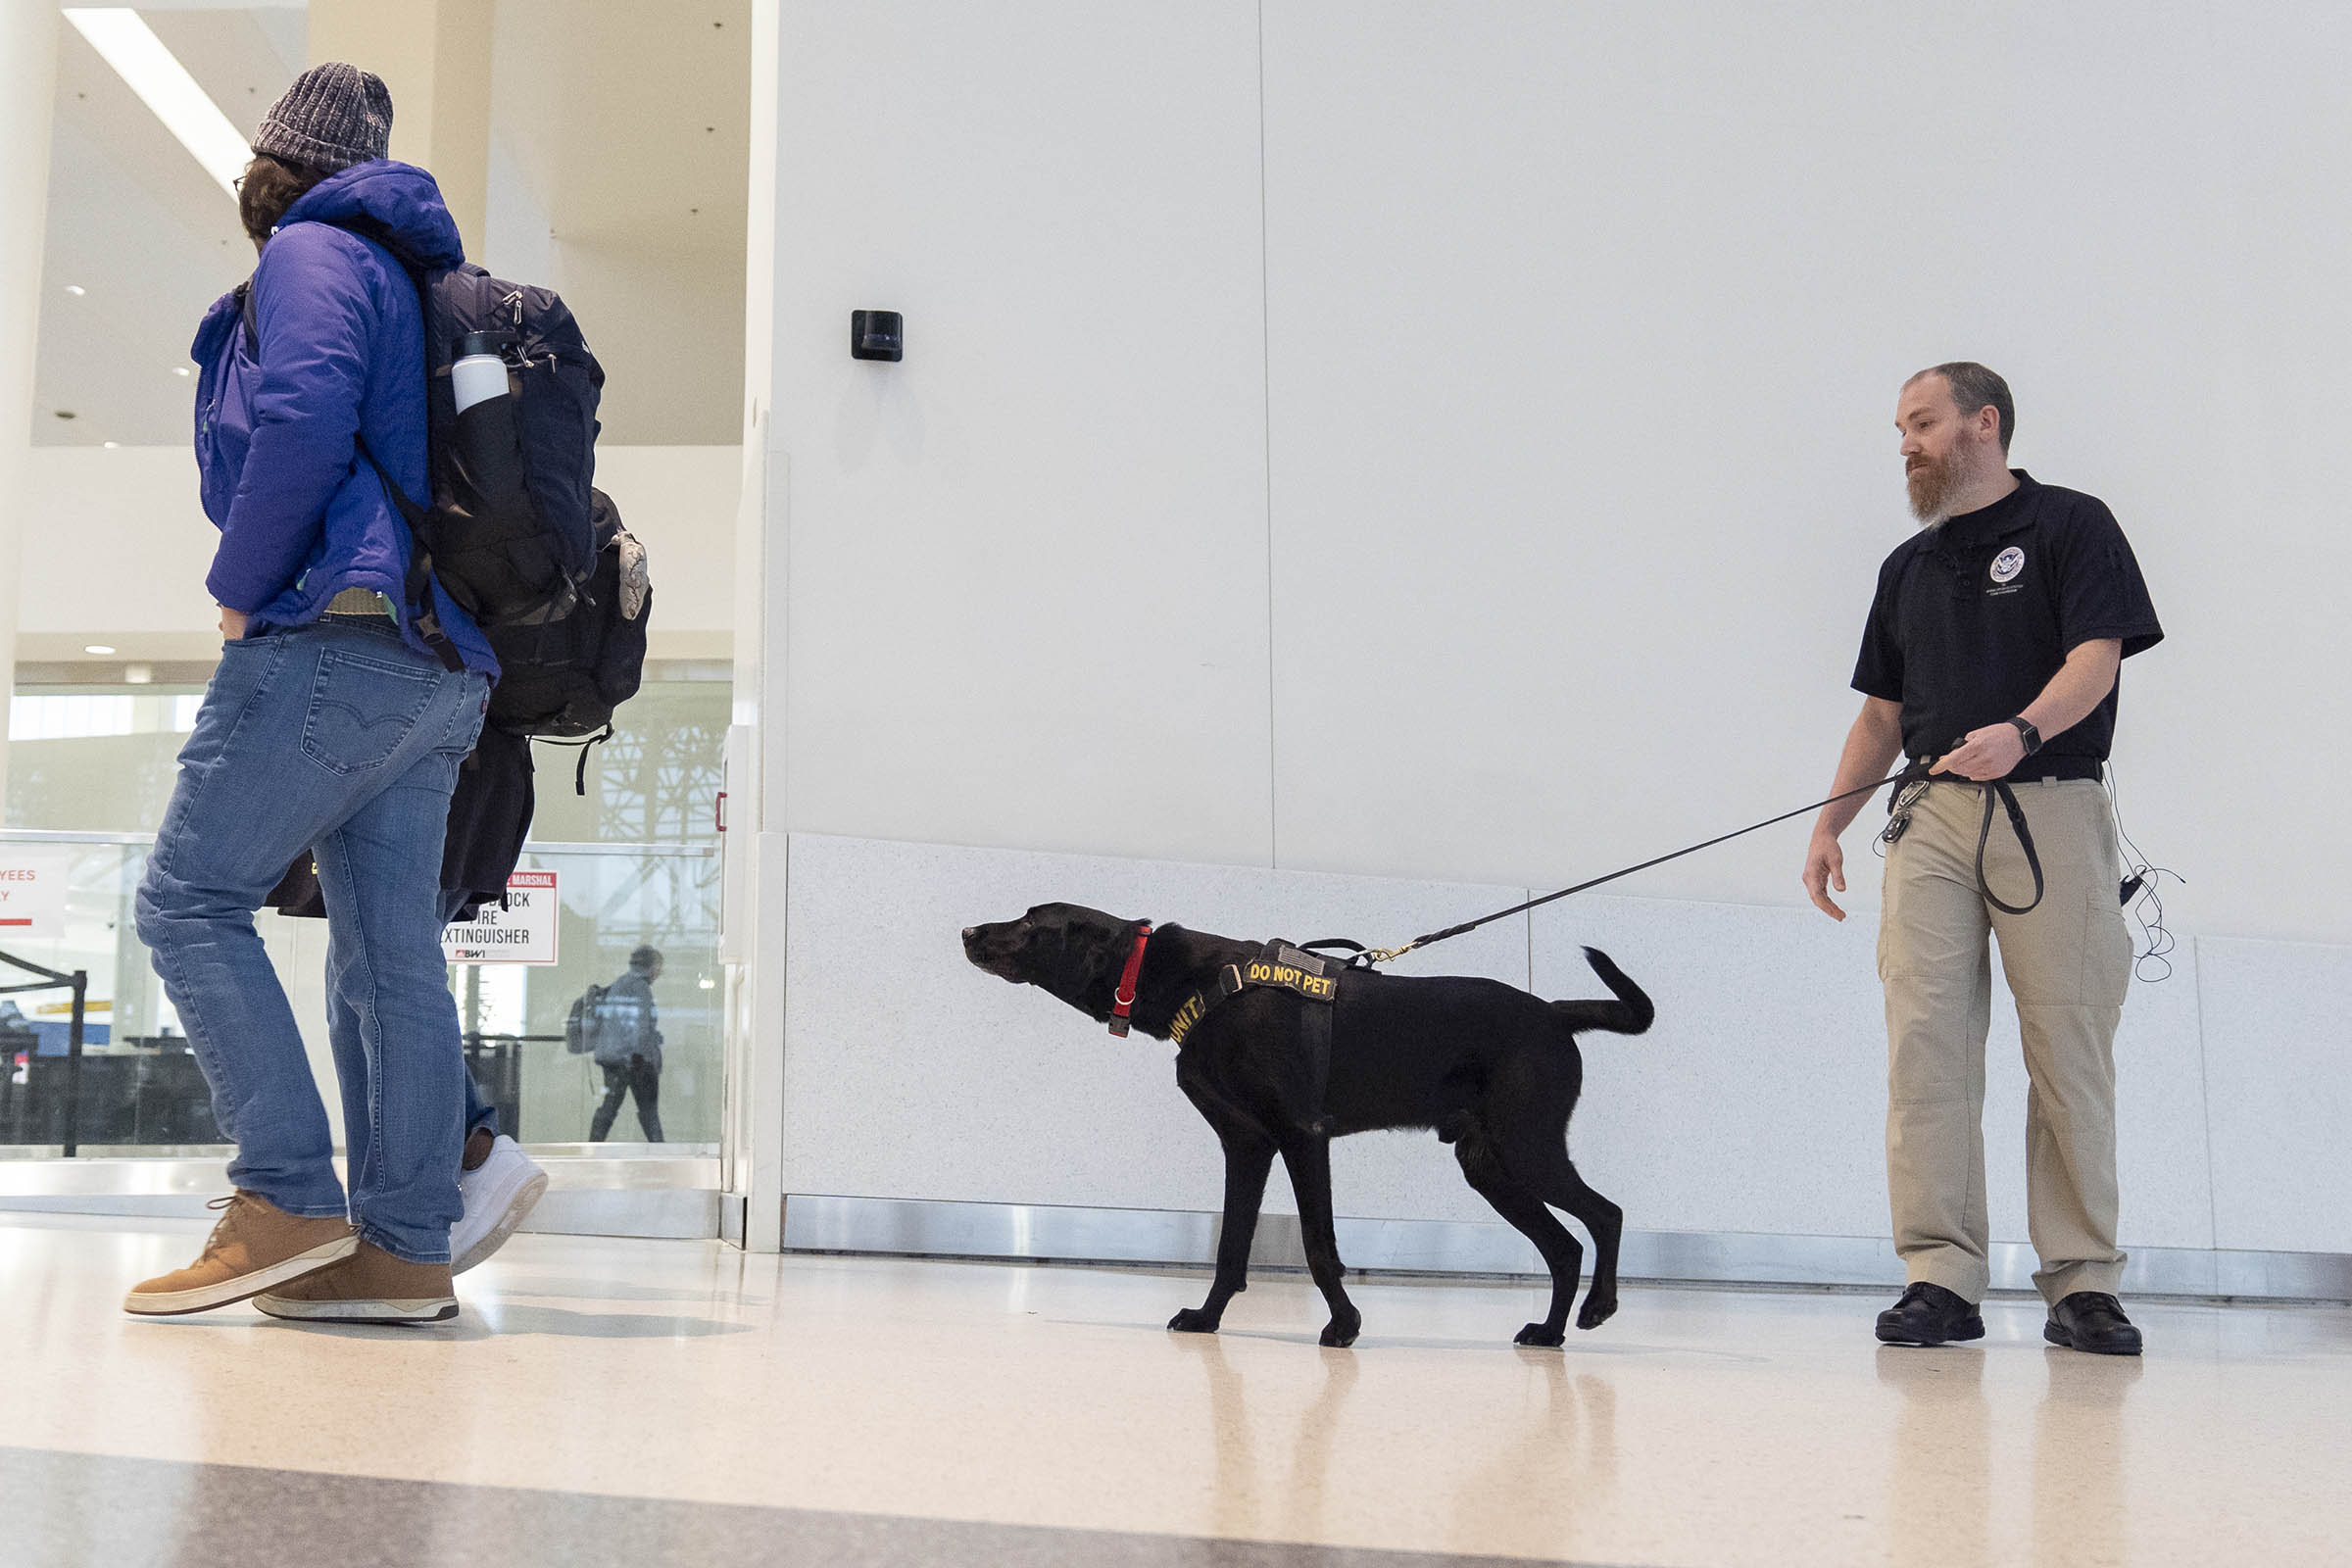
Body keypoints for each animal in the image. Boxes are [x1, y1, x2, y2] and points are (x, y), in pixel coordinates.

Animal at [955, 906, 1655, 1353]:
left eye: (1029, 923)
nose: (966, 931)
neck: (1195, 982)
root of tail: (1554, 1014)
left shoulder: (1300, 1135)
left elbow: (1319, 1245)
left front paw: (1344, 1325)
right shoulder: (1246, 1146)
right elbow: (1231, 1246)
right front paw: (1207, 1318)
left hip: (1527, 1146)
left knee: (1606, 1214)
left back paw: (1598, 1307)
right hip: (1490, 1166)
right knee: (1563, 1247)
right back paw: (1550, 1334)